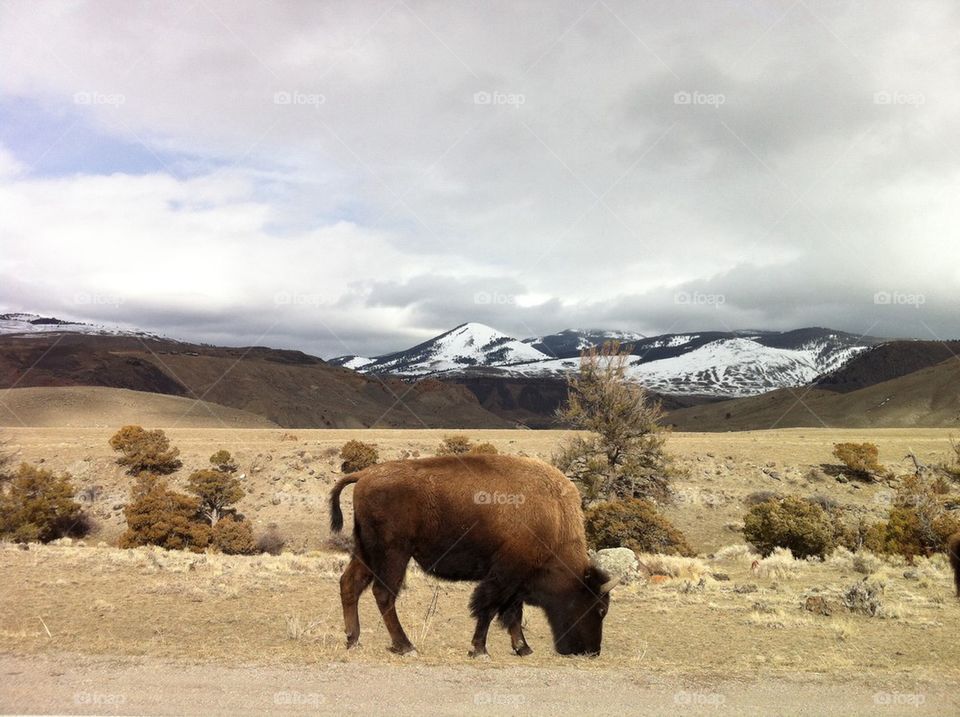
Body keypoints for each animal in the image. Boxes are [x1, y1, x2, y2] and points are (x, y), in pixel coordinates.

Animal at [329, 454, 616, 657]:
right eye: (600, 608)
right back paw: (405, 646)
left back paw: (353, 640)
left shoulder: (516, 579)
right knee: (384, 594)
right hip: (394, 554)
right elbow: (488, 608)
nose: (592, 651)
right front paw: (479, 649)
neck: (554, 518)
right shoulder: (504, 575)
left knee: (350, 584)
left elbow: (512, 613)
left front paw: (522, 648)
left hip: (366, 552)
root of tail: (365, 474)